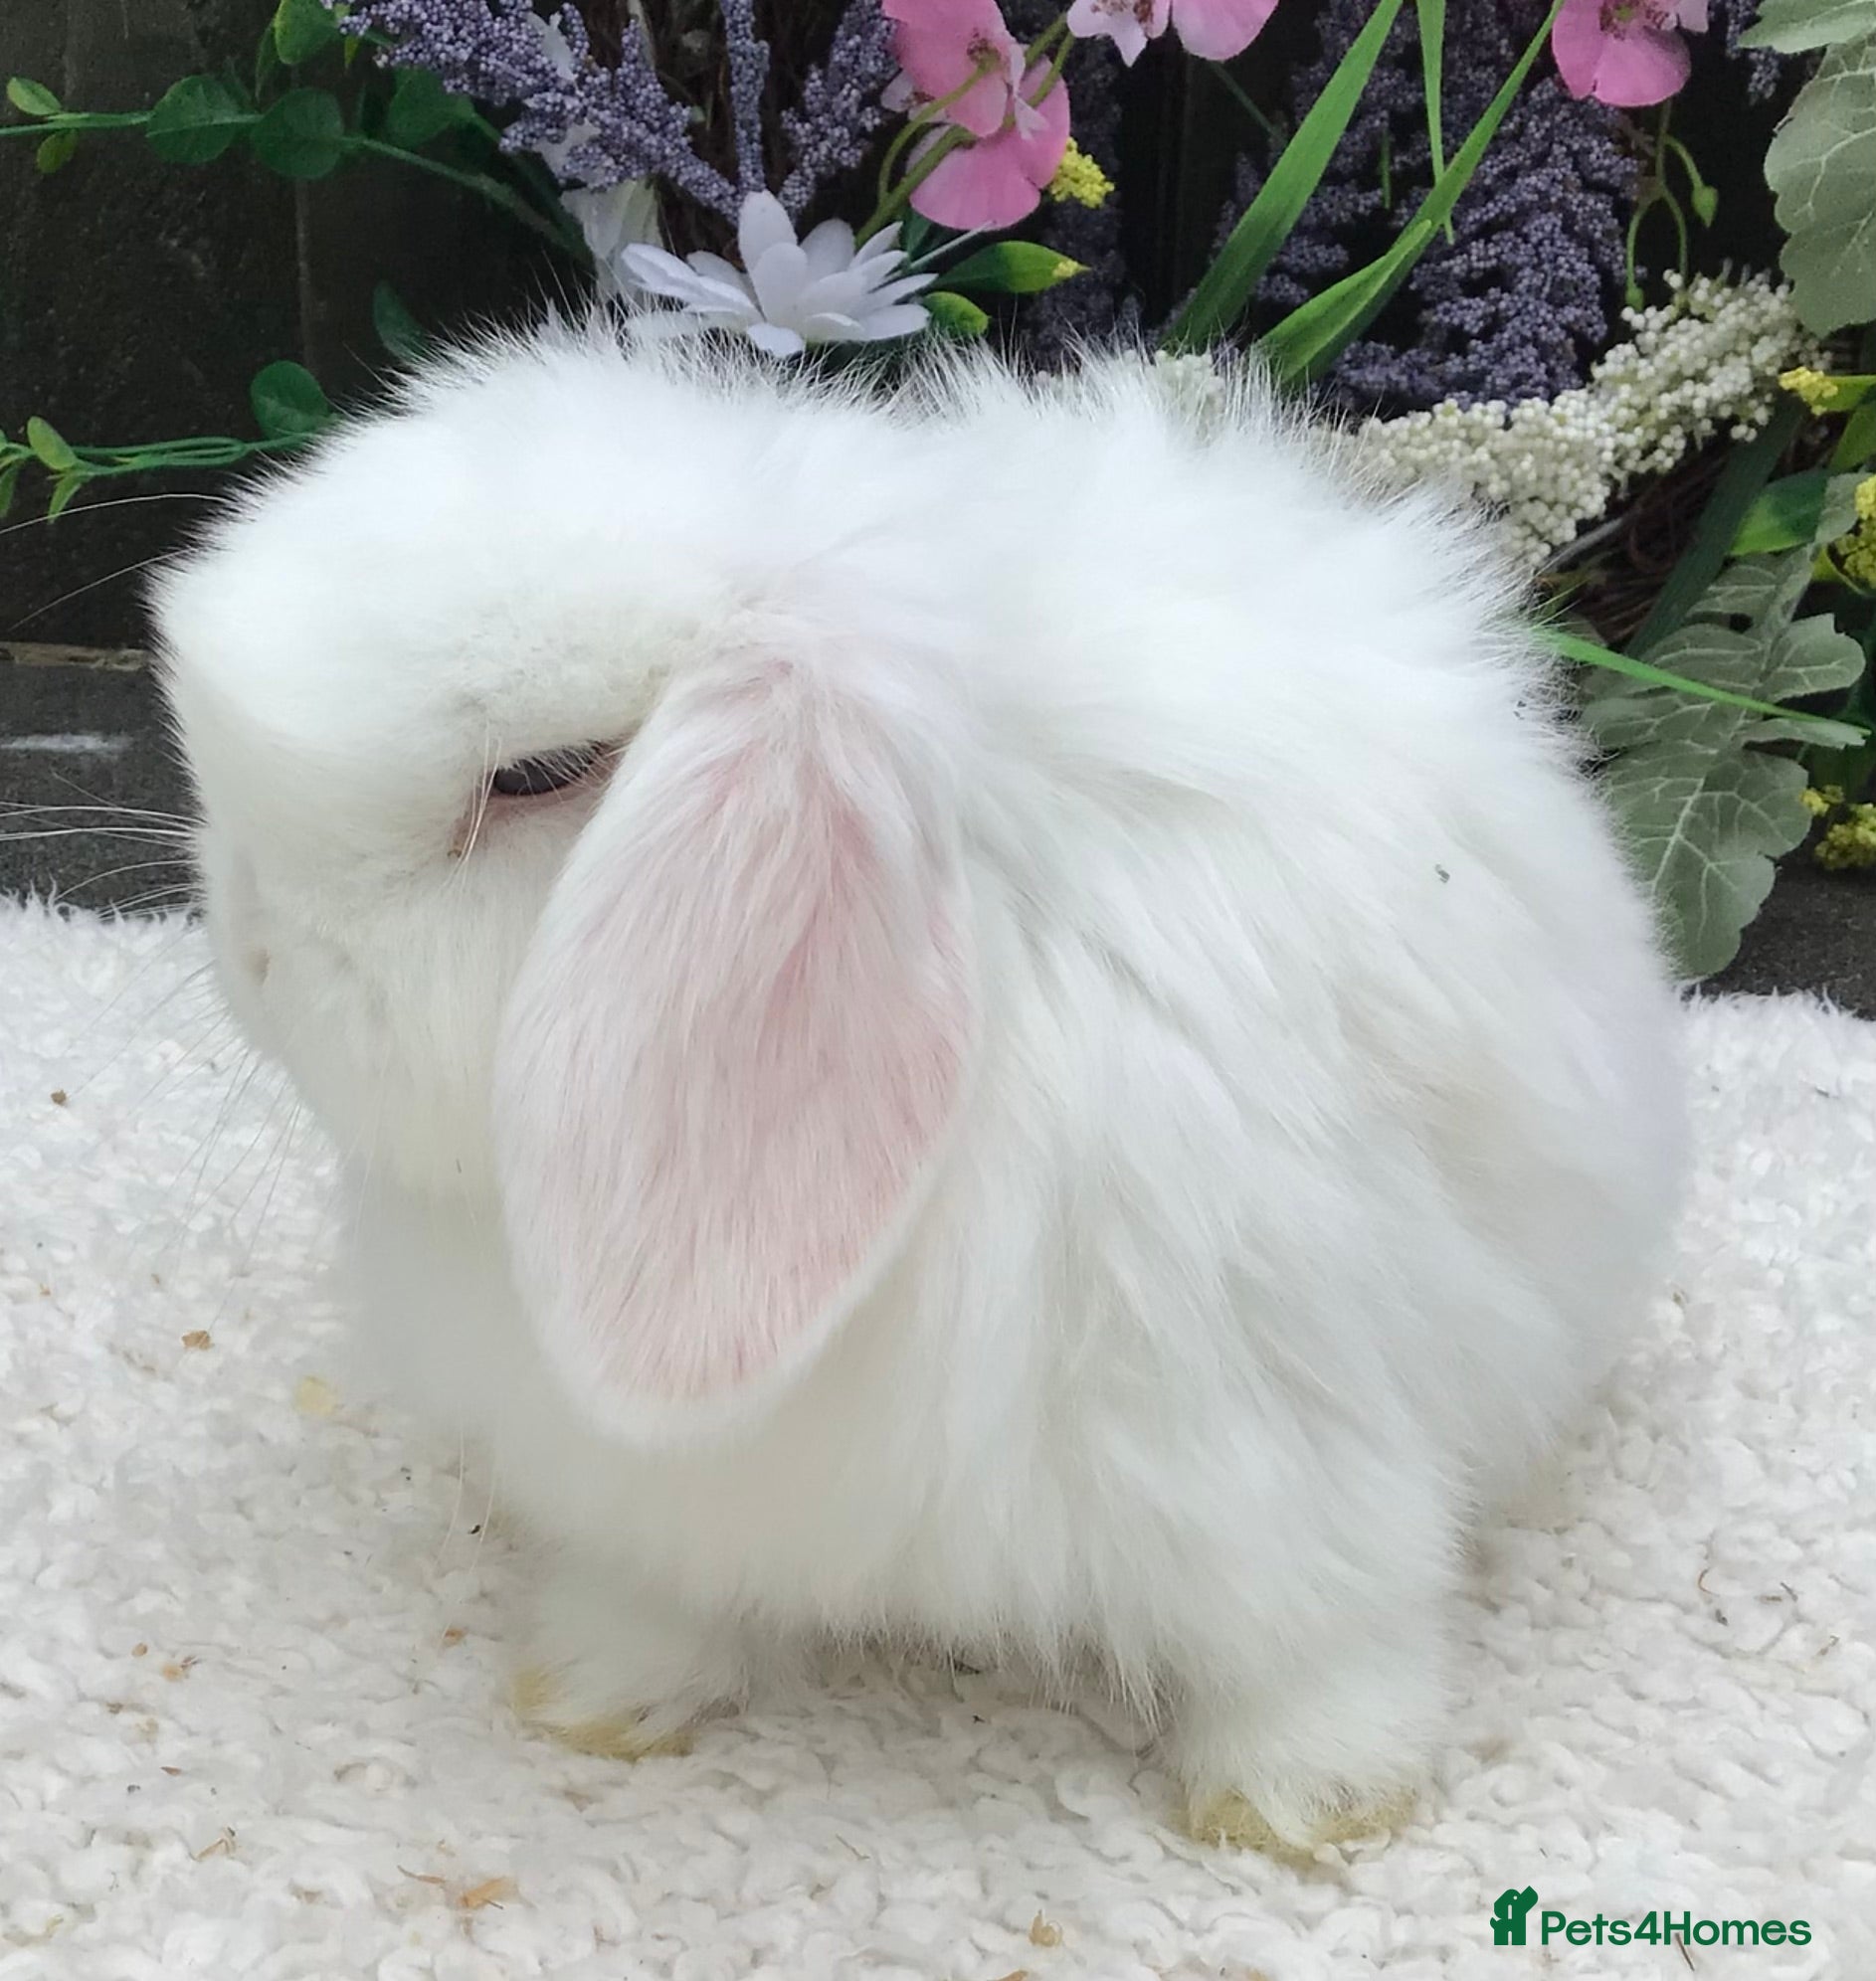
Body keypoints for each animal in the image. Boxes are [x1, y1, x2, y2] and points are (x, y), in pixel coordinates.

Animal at [151, 322, 1686, 1851]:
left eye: (538, 773)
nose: (250, 948)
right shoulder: (658, 1493)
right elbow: (657, 1597)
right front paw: (593, 1696)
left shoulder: (1276, 1437)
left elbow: (1317, 1631)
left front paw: (1300, 1804)